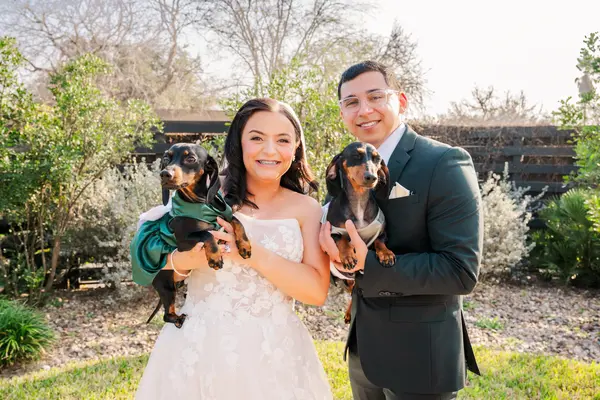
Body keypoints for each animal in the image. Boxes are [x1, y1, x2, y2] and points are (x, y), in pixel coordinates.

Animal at [146, 143, 252, 328]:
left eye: (190, 158)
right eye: (166, 158)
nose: (165, 174)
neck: (202, 204)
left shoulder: (223, 215)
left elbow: (236, 221)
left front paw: (245, 246)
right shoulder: (183, 242)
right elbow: (206, 234)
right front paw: (215, 257)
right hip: (167, 287)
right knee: (167, 315)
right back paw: (179, 319)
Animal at [323, 142, 396, 323]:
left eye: (377, 159)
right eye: (356, 156)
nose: (372, 177)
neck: (359, 203)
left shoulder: (382, 231)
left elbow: (379, 241)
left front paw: (386, 254)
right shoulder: (330, 231)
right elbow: (342, 239)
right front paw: (348, 256)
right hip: (345, 280)